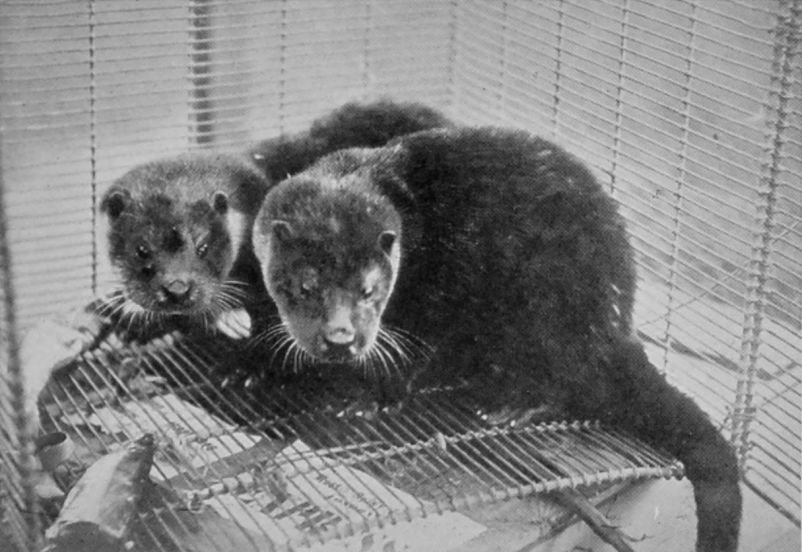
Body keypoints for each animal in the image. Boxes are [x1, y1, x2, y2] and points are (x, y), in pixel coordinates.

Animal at [253, 127, 742, 552]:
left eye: (369, 290)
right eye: (306, 286)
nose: (341, 337)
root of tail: (617, 327)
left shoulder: (433, 293)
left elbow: (413, 350)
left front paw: (368, 397)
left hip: (553, 307)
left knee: (565, 381)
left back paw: (512, 406)